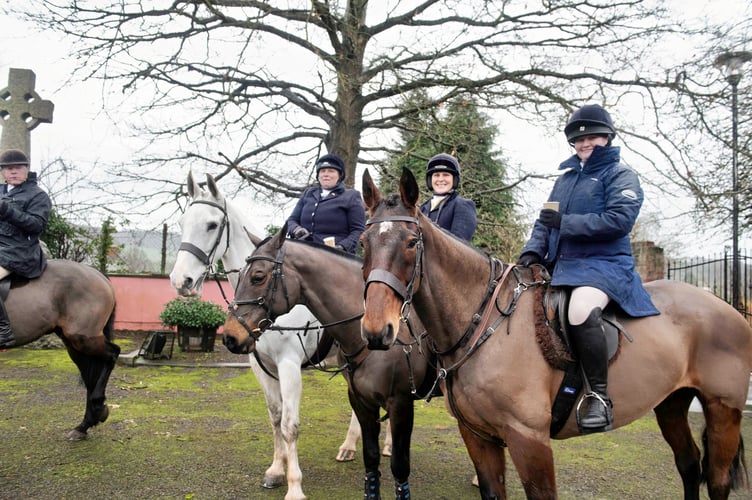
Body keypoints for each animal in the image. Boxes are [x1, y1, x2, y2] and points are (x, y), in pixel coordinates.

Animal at [0, 260, 119, 440]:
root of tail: (96, 273)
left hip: (83, 339)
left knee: (112, 355)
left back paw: (95, 410)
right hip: (74, 344)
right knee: (90, 374)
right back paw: (85, 424)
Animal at [167, 172, 384, 500]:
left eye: (212, 225)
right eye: (181, 222)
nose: (182, 281)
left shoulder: (289, 365)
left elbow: (290, 425)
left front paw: (294, 487)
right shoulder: (261, 367)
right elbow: (275, 417)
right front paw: (276, 470)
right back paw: (349, 446)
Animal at [358, 168, 752, 500]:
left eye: (412, 242)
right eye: (364, 242)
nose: (377, 331)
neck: (483, 323)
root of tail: (725, 307)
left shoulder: (528, 440)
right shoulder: (478, 436)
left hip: (723, 410)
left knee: (717, 480)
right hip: (671, 403)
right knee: (689, 465)